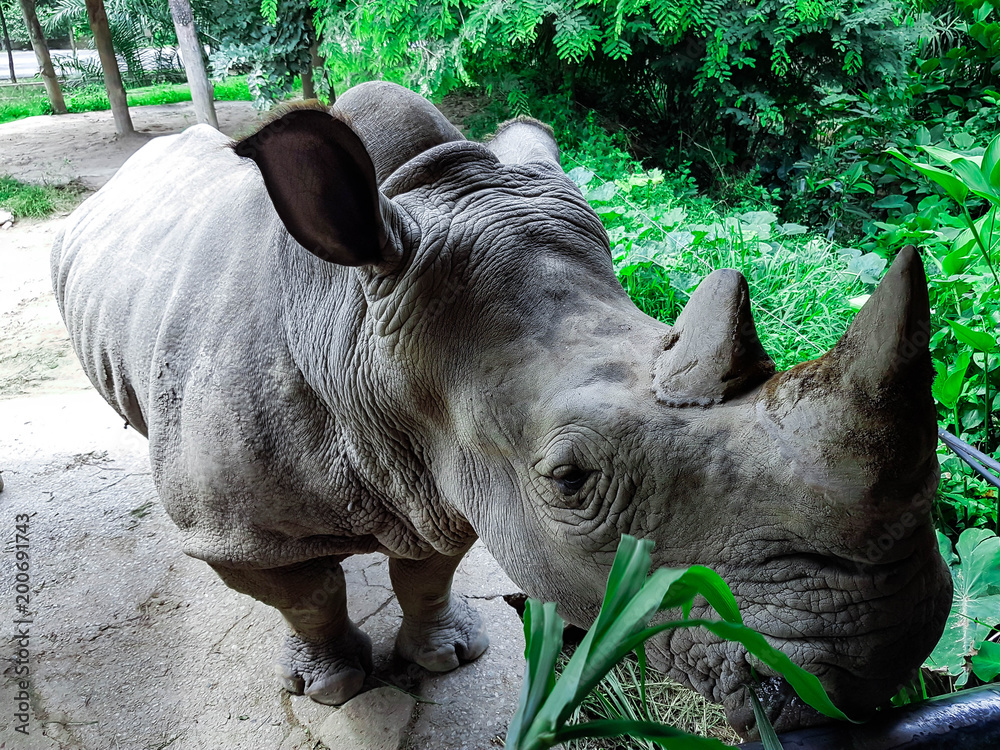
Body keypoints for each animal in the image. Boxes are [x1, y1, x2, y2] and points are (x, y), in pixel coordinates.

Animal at [52, 81, 951, 737]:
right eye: (569, 479)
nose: (882, 656)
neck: (355, 327)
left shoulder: (442, 474)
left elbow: (427, 568)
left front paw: (445, 658)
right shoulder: (243, 530)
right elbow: (306, 594)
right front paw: (335, 688)